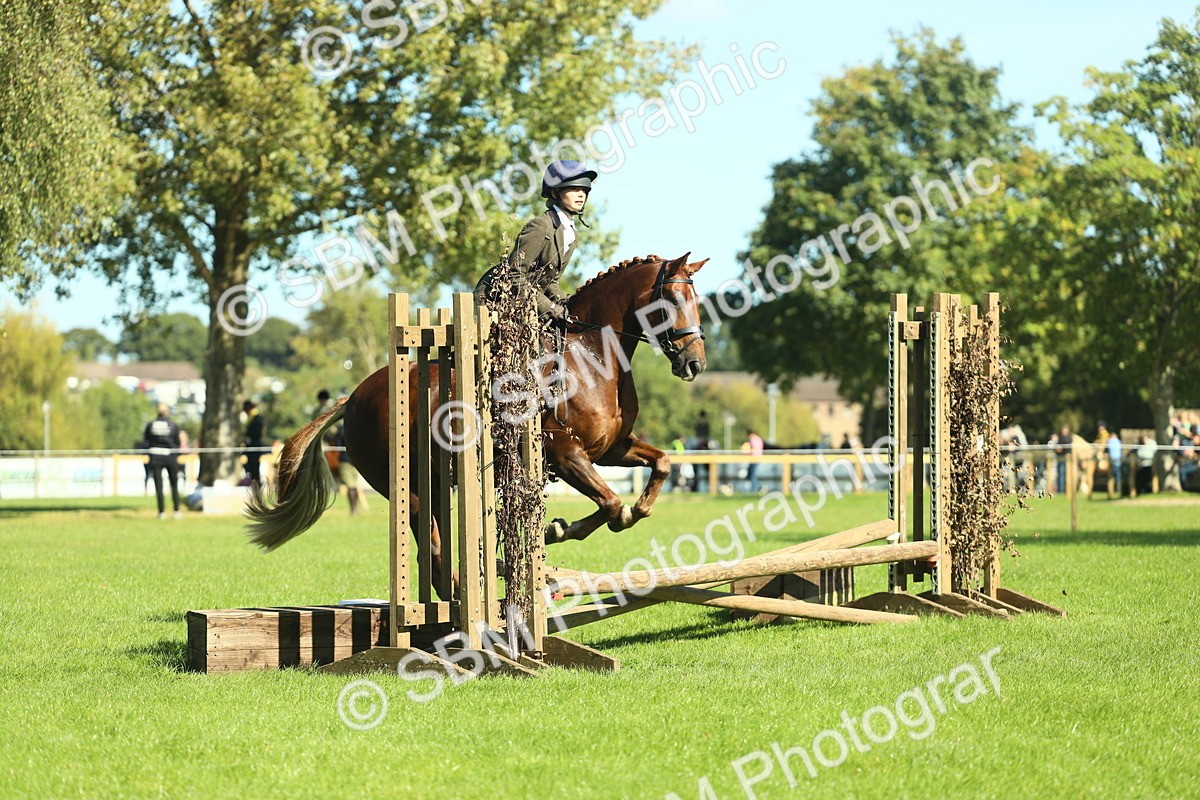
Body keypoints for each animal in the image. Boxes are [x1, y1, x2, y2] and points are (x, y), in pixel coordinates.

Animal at [246, 252, 709, 591]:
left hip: (435, 482)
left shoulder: (611, 448)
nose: (695, 364)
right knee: (431, 551)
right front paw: (559, 530)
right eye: (672, 302)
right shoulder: (565, 454)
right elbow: (611, 503)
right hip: (411, 487)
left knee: (430, 553)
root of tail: (354, 396)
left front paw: (632, 511)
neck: (592, 353)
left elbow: (660, 466)